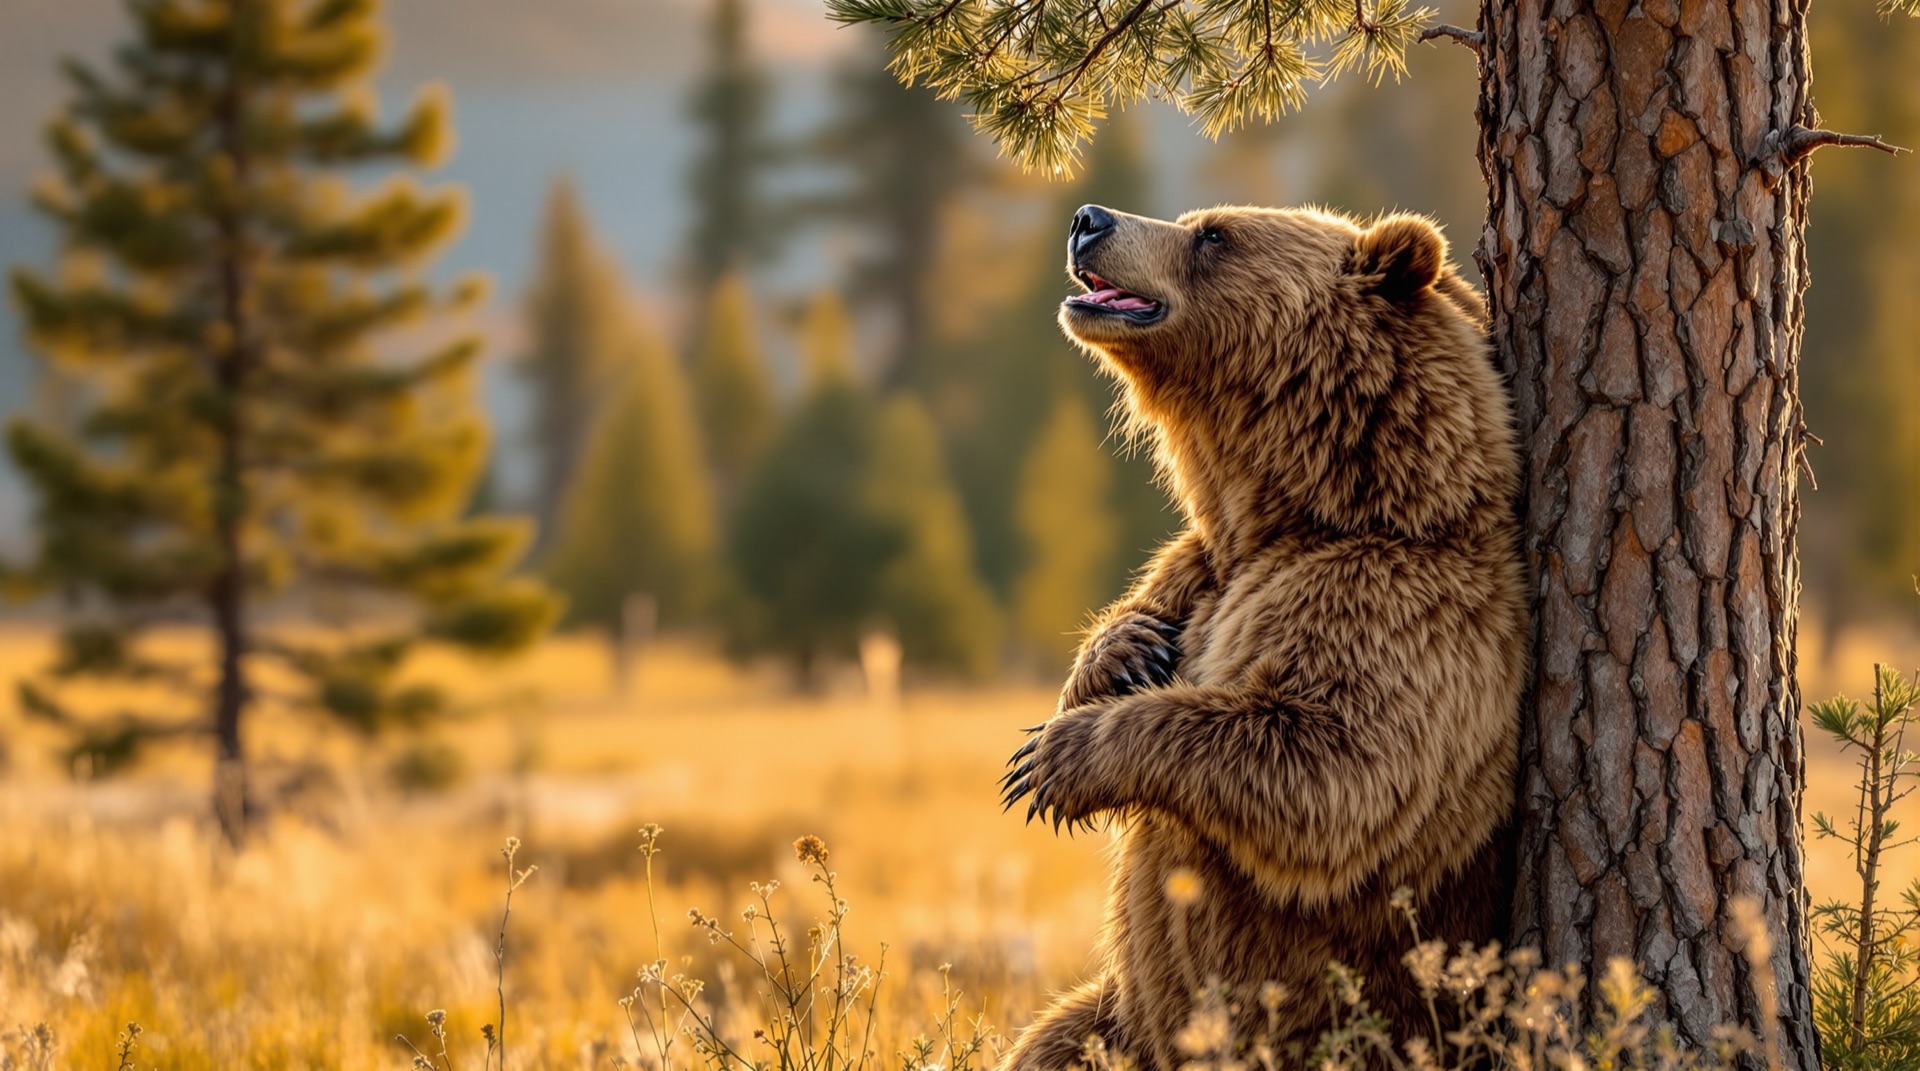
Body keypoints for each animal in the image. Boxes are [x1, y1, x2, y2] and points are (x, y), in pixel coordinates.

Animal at [998, 203, 1530, 1069]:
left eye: (1213, 234)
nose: (1088, 218)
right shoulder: (1201, 569)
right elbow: (1142, 613)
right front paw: (1121, 657)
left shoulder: (1398, 605)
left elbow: (1331, 762)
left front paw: (1059, 759)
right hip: (1118, 1016)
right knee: (1051, 1040)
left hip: (1360, 1033)